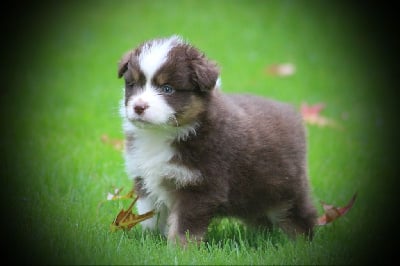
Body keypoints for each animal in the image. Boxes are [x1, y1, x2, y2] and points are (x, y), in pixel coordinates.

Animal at [117, 34, 318, 245]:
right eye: (134, 85)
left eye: (167, 89)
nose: (139, 107)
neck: (162, 133)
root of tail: (292, 113)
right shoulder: (144, 179)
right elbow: (150, 217)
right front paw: (150, 241)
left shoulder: (200, 186)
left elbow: (184, 227)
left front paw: (178, 249)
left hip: (288, 190)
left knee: (301, 216)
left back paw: (304, 243)